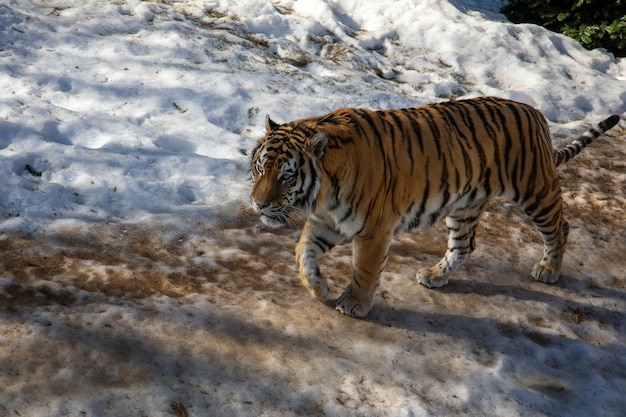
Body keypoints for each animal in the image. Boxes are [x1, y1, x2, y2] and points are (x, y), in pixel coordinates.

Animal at [249, 96, 620, 316]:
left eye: (286, 177)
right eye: (261, 168)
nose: (259, 204)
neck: (323, 192)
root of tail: (536, 114)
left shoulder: (373, 229)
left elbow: (364, 269)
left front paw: (354, 303)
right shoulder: (327, 221)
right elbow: (302, 252)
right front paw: (318, 287)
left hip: (535, 190)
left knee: (560, 226)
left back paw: (549, 269)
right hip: (465, 206)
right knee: (464, 245)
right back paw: (436, 275)